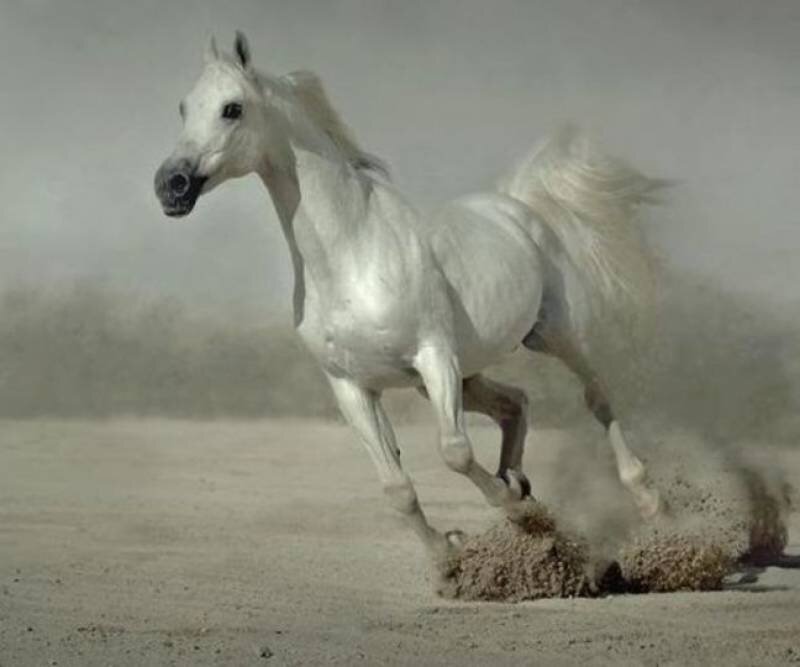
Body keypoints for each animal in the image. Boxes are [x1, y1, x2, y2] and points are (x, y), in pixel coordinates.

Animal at [155, 32, 665, 569]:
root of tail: (513, 205)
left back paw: (646, 498)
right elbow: (396, 487)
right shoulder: (352, 387)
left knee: (596, 394)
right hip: (460, 374)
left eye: (232, 108)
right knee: (516, 403)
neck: (353, 257)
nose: (170, 185)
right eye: (184, 107)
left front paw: (513, 511)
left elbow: (454, 451)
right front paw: (451, 555)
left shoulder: (433, 356)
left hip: (550, 333)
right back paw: (518, 481)